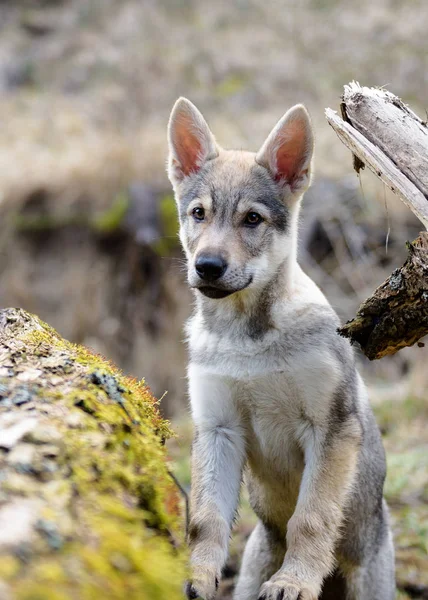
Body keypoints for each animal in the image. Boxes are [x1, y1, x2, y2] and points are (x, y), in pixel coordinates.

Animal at [166, 98, 394, 600]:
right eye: (198, 213)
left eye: (252, 219)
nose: (207, 266)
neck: (246, 339)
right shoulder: (218, 429)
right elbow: (206, 521)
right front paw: (196, 576)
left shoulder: (330, 429)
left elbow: (310, 519)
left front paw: (294, 581)